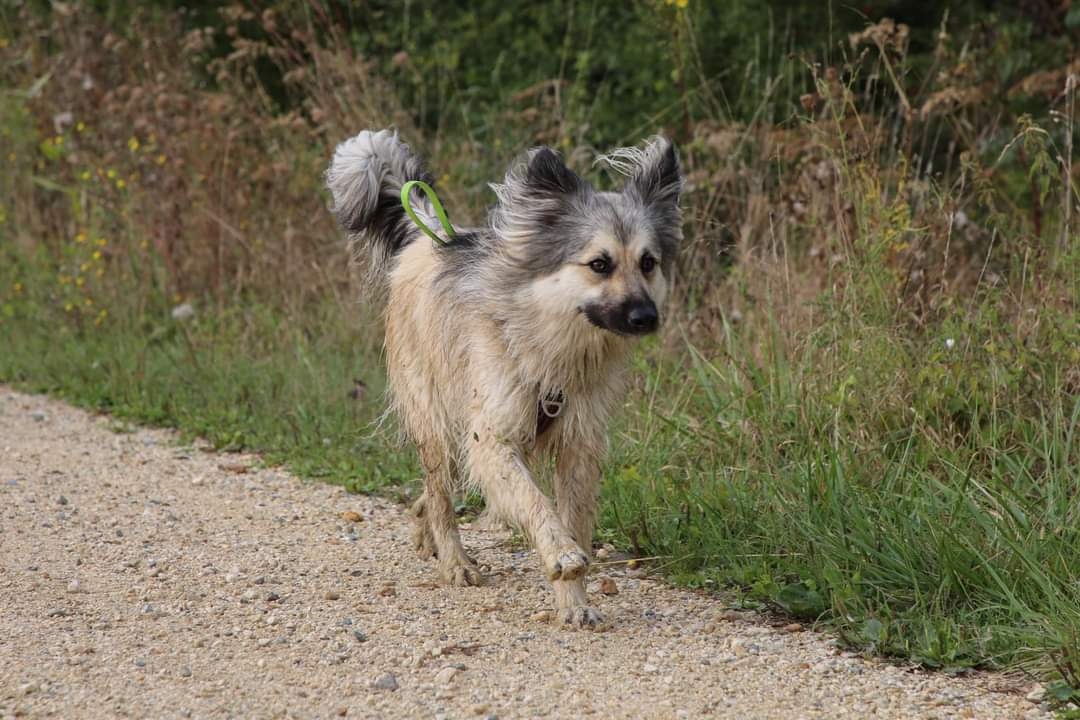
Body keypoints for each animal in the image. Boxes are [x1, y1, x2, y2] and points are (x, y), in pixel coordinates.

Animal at [326, 129, 682, 627]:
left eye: (648, 262)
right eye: (599, 264)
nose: (646, 317)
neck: (555, 347)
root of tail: (427, 238)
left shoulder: (578, 445)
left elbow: (573, 519)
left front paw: (575, 602)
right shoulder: (494, 437)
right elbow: (537, 506)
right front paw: (561, 557)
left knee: (435, 492)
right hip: (436, 419)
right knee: (441, 494)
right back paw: (454, 560)